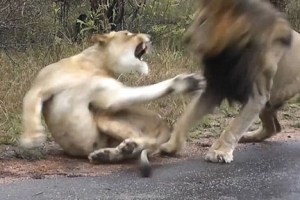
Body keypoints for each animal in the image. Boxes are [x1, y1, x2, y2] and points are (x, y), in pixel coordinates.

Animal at [19, 30, 206, 176]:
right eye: (128, 33)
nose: (149, 36)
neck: (93, 64)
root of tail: (164, 125)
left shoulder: (111, 95)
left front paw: (184, 83)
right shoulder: (39, 88)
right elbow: (29, 109)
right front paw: (33, 138)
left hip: (105, 118)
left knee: (146, 141)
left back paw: (123, 148)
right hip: (105, 119)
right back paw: (108, 154)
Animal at [161, 0, 298, 163]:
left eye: (203, 21)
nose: (186, 39)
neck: (228, 51)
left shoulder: (257, 94)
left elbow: (235, 125)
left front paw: (220, 152)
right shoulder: (215, 86)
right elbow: (186, 117)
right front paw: (171, 146)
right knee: (274, 127)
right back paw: (249, 136)